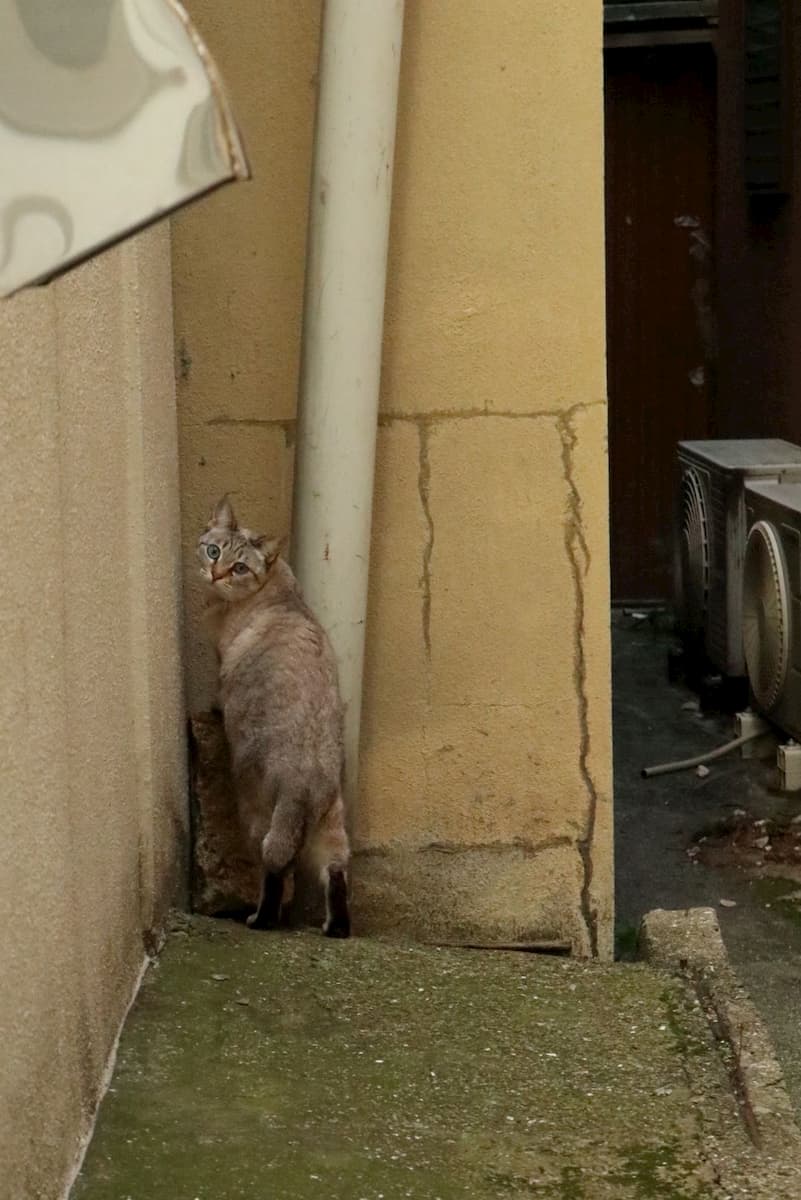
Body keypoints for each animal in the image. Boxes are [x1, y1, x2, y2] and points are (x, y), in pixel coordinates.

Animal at [197, 494, 350, 936]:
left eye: (239, 568)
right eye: (213, 551)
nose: (215, 574)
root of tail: (308, 783)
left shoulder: (221, 661)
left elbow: (219, 691)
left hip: (257, 817)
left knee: (274, 871)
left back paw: (259, 920)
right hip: (332, 825)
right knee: (336, 874)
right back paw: (335, 930)